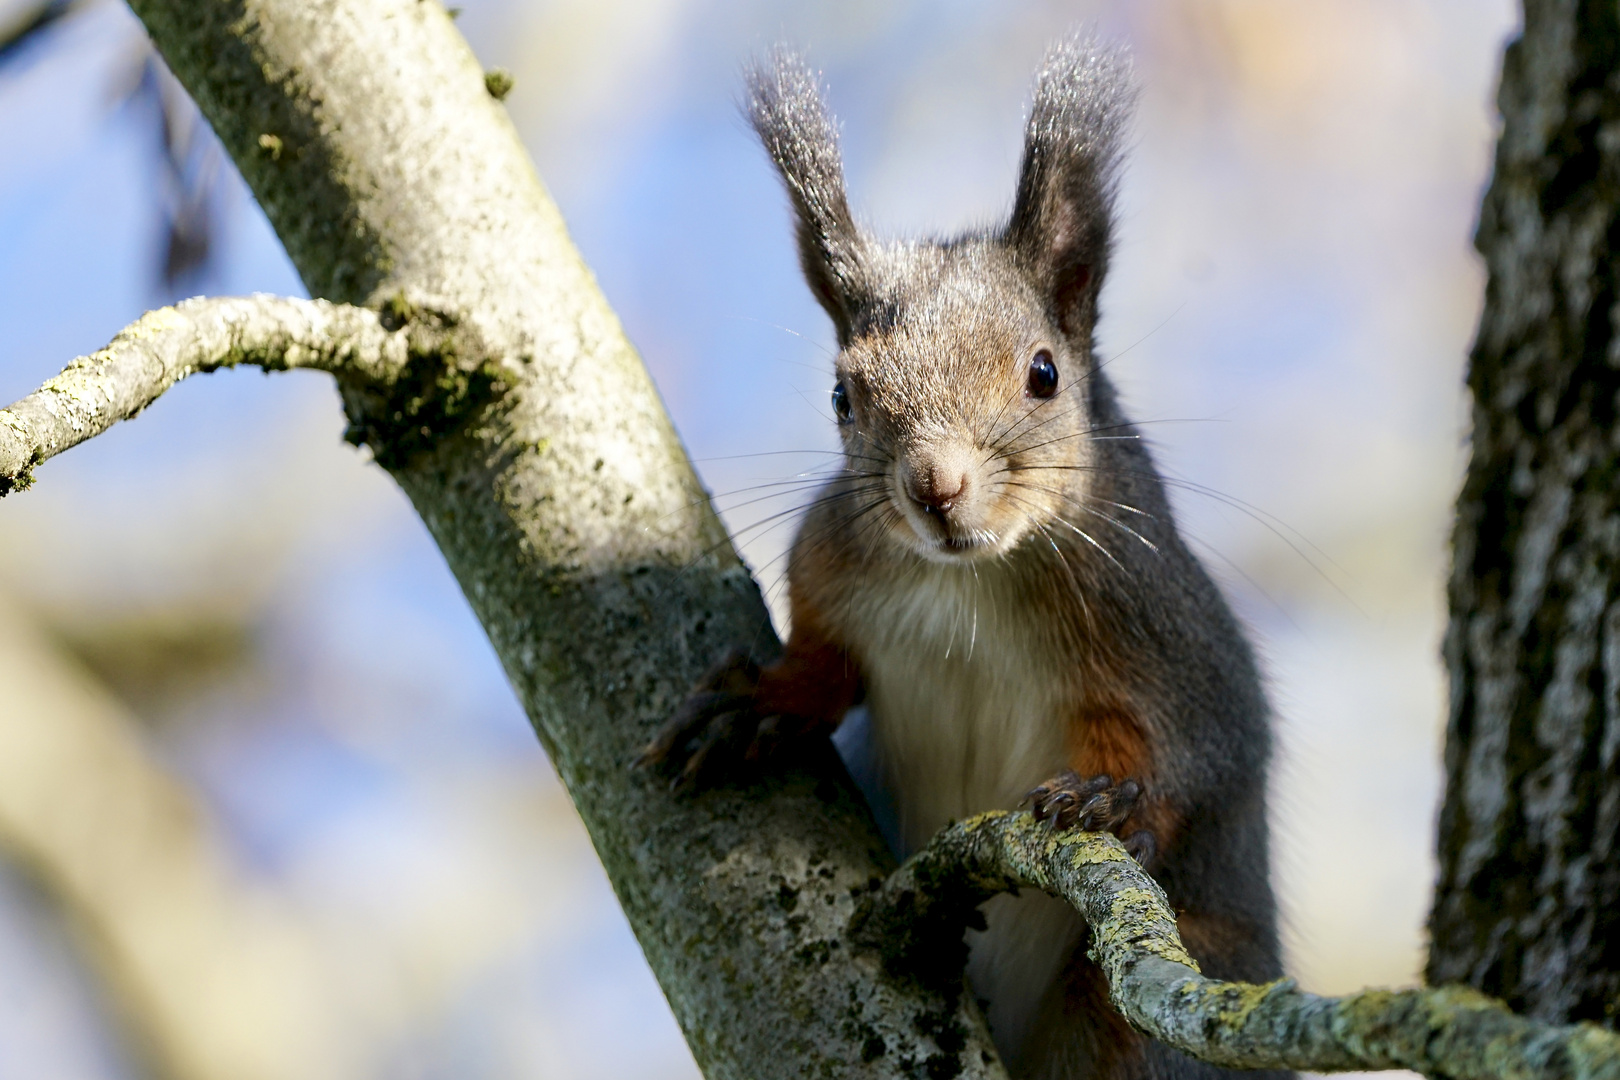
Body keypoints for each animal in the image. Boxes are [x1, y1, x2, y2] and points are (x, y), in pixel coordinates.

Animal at [638, 33, 1283, 1080]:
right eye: (841, 397)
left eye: (1044, 373)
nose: (935, 488)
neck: (967, 581)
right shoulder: (831, 570)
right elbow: (825, 662)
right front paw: (761, 702)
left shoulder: (1165, 629)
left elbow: (1200, 746)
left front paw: (1111, 800)